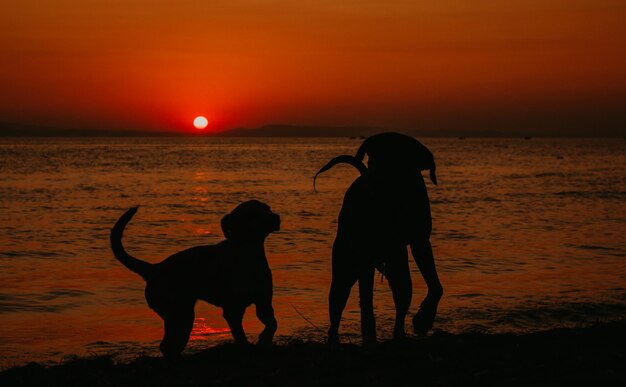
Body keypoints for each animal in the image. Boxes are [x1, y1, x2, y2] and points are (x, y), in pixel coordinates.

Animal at [110, 202, 280, 360]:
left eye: (268, 208)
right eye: (252, 213)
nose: (275, 217)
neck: (248, 254)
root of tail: (154, 269)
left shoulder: (263, 304)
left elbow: (272, 324)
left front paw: (264, 340)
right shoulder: (233, 310)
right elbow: (240, 336)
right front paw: (247, 346)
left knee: (170, 346)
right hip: (181, 315)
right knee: (168, 345)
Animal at [314, 133, 442, 346]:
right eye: (372, 159)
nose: (370, 182)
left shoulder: (420, 242)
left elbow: (435, 286)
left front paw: (424, 318)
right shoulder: (364, 255)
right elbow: (365, 300)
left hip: (394, 263)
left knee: (402, 292)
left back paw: (397, 334)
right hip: (346, 266)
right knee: (340, 301)